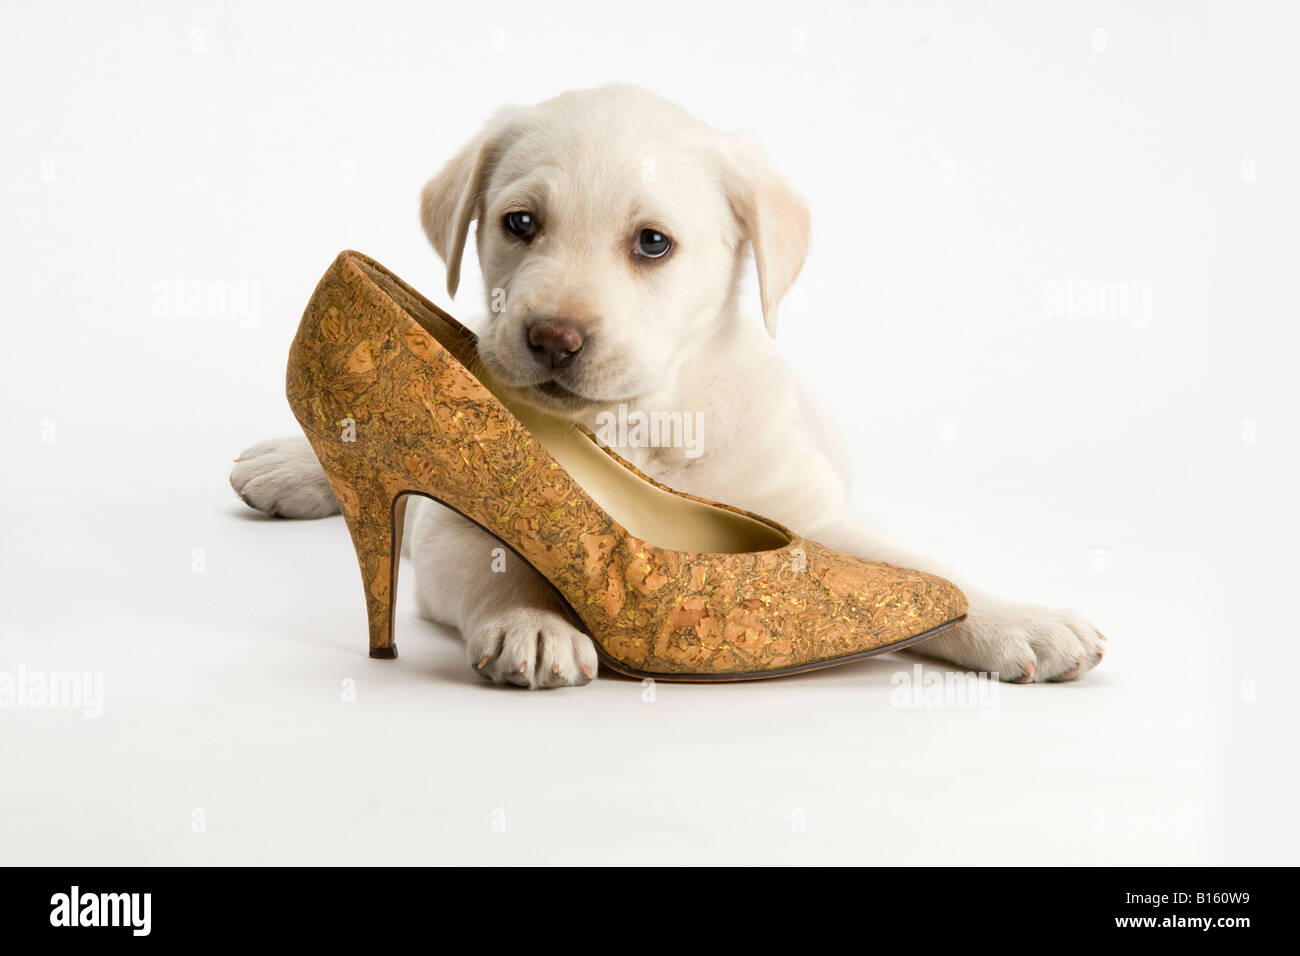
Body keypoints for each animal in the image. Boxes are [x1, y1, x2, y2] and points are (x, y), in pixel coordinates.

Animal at [228, 85, 1102, 686]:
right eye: (519, 224)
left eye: (652, 243)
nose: (553, 337)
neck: (640, 426)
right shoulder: (457, 529)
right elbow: (499, 562)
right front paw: (532, 623)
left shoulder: (815, 516)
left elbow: (924, 573)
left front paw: (1019, 619)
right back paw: (291, 465)